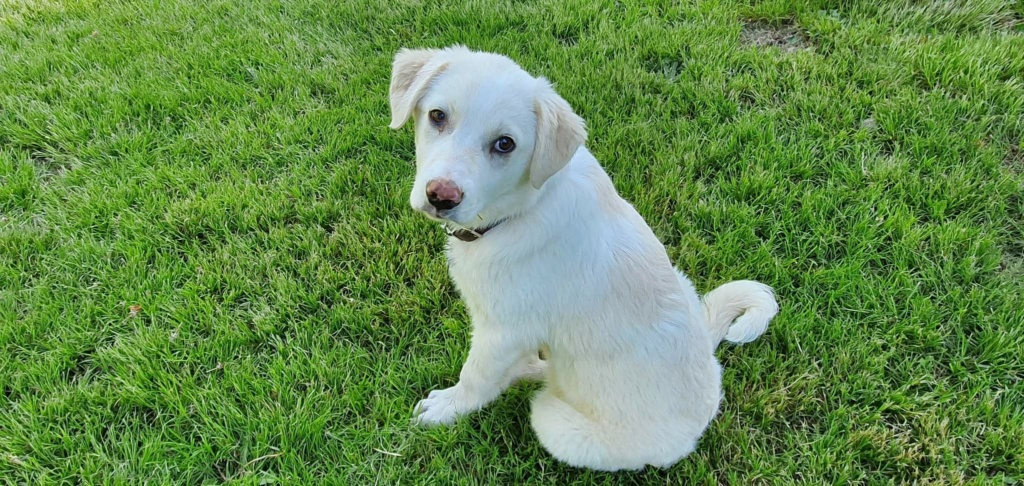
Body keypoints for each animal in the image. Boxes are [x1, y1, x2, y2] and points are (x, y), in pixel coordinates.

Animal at [387, 45, 778, 472]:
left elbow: (475, 376)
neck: (522, 210)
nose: (441, 196)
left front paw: (446, 409)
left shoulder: (502, 331)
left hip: (553, 421)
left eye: (505, 144)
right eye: (437, 116)